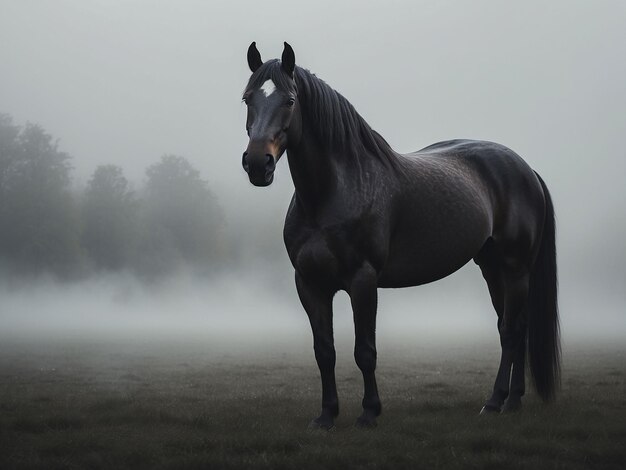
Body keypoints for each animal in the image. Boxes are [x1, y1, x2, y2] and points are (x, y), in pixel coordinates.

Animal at [241, 42, 560, 428]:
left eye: (289, 100)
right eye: (247, 99)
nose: (258, 164)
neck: (333, 193)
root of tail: (526, 169)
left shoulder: (363, 280)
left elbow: (364, 350)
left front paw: (369, 412)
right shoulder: (310, 284)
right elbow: (325, 352)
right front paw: (326, 415)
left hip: (515, 268)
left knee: (511, 332)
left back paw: (497, 401)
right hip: (492, 268)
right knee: (513, 328)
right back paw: (512, 400)